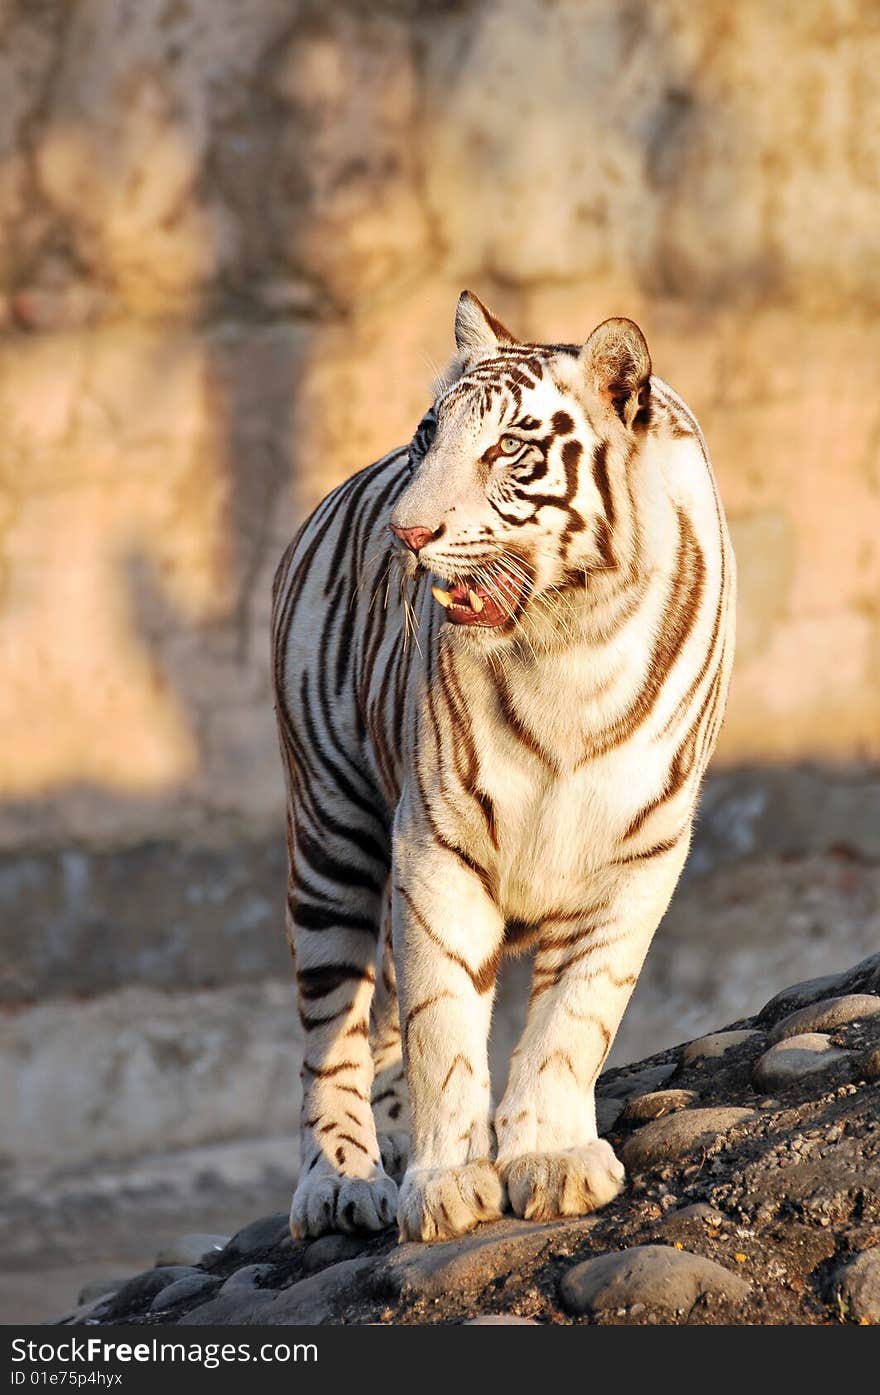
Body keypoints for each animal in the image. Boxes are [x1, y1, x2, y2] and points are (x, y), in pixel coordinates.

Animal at [273, 291, 736, 1244]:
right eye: (428, 437)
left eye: (509, 450)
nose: (408, 532)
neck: (570, 643)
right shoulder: (435, 844)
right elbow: (444, 1022)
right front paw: (449, 1184)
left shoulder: (640, 852)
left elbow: (576, 1017)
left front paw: (551, 1159)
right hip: (331, 831)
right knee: (331, 1029)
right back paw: (342, 1181)